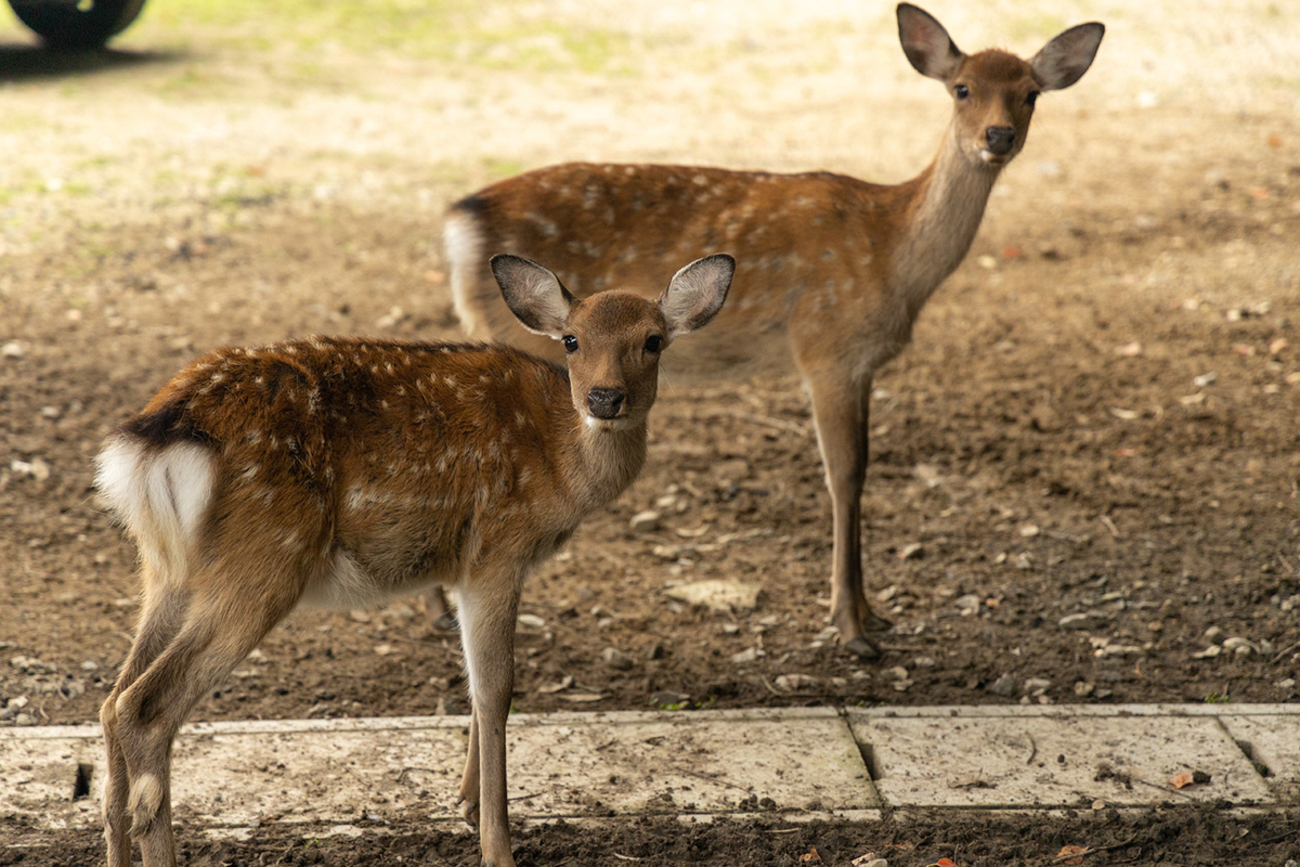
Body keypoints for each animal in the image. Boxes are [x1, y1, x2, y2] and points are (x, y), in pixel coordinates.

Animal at [94, 252, 735, 867]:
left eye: (653, 340)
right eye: (572, 340)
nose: (605, 398)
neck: (560, 461)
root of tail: (157, 439)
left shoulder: (463, 568)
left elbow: (474, 682)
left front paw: (467, 801)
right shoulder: (497, 548)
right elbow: (496, 688)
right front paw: (496, 844)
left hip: (167, 571)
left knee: (109, 702)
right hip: (266, 558)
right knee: (143, 705)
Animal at [443, 4, 1104, 660]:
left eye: (1030, 93)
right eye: (962, 88)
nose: (998, 136)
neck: (892, 255)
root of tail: (458, 223)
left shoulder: (862, 364)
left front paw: (873, 611)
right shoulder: (825, 346)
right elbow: (846, 475)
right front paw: (851, 625)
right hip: (525, 340)